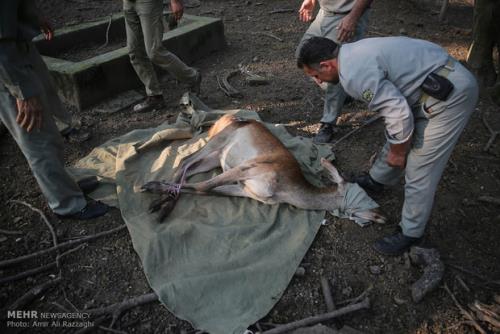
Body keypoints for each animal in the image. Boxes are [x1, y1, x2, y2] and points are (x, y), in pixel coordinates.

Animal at [141, 113, 386, 223]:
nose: (382, 216)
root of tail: (224, 118)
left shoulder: (246, 189)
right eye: (361, 195)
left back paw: (164, 205)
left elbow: (206, 189)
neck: (283, 190)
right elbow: (203, 187)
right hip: (219, 140)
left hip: (216, 157)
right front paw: (152, 188)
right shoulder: (249, 167)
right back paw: (156, 194)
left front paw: (159, 199)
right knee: (185, 160)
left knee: (190, 167)